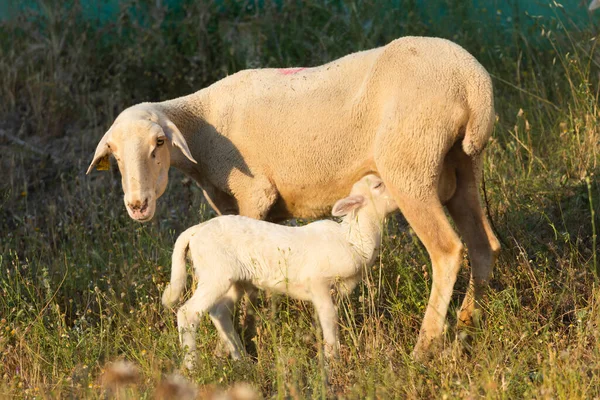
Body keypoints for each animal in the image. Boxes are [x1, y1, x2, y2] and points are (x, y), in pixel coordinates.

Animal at [163, 175, 398, 368]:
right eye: (378, 185)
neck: (354, 239)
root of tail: (195, 231)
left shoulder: (336, 291)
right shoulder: (318, 283)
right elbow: (330, 318)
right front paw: (332, 361)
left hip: (234, 280)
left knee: (219, 312)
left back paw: (242, 361)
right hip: (215, 274)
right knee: (188, 312)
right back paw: (192, 365)